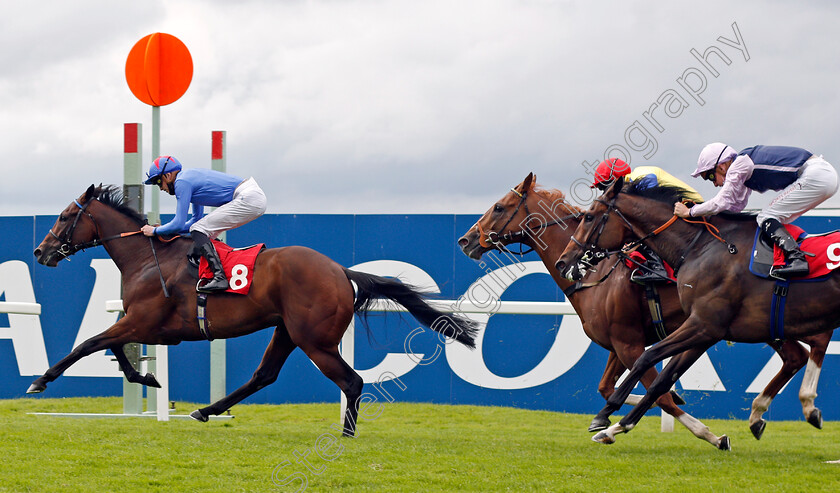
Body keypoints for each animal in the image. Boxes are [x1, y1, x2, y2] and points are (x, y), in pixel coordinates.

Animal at [31, 184, 480, 434]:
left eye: (66, 216)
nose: (40, 251)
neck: (145, 257)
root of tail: (340, 270)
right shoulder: (147, 327)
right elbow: (112, 351)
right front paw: (148, 378)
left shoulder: (144, 321)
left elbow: (89, 345)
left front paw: (41, 381)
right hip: (287, 331)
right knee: (264, 375)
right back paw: (206, 411)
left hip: (315, 340)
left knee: (351, 382)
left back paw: (346, 435)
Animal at [462, 173, 832, 442]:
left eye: (498, 207)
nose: (465, 241)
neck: (593, 273)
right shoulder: (621, 342)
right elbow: (611, 387)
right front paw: (617, 414)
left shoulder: (630, 342)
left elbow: (658, 391)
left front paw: (708, 434)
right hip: (760, 322)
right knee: (797, 355)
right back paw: (766, 415)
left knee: (815, 342)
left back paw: (800, 406)